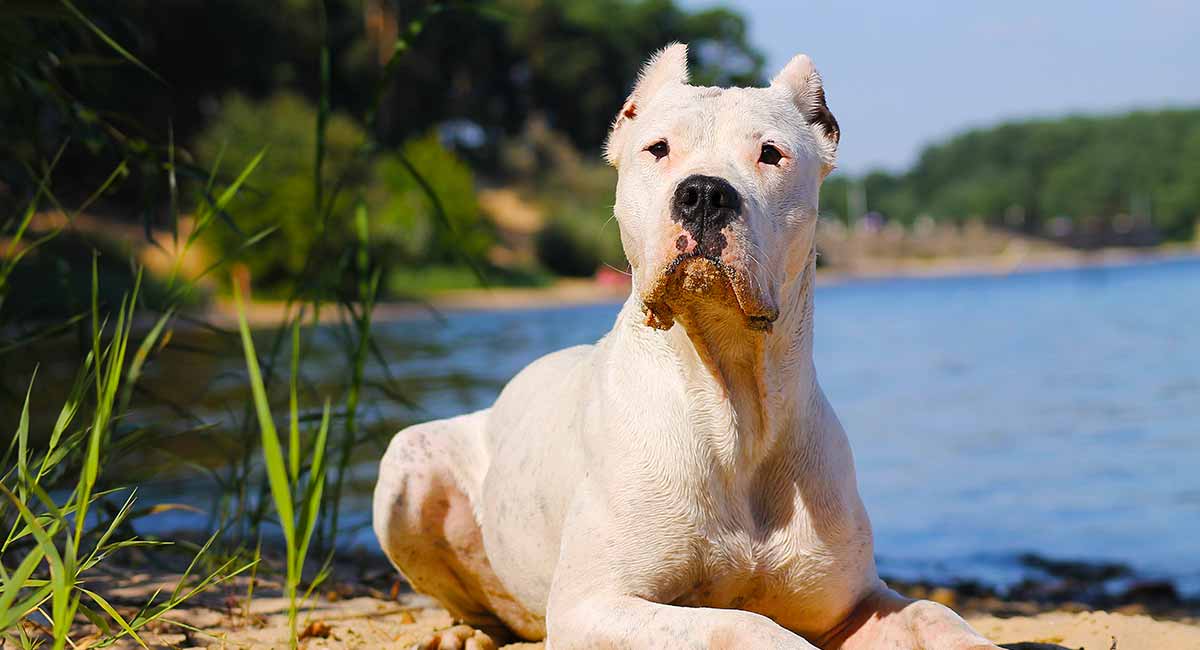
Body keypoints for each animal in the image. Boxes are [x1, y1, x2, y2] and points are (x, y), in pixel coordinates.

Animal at [374, 43, 1003, 647]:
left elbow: (933, 614)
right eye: (658, 148)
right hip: (407, 464)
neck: (733, 407)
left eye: (770, 153)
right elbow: (741, 624)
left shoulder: (852, 606)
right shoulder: (591, 606)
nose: (704, 193)